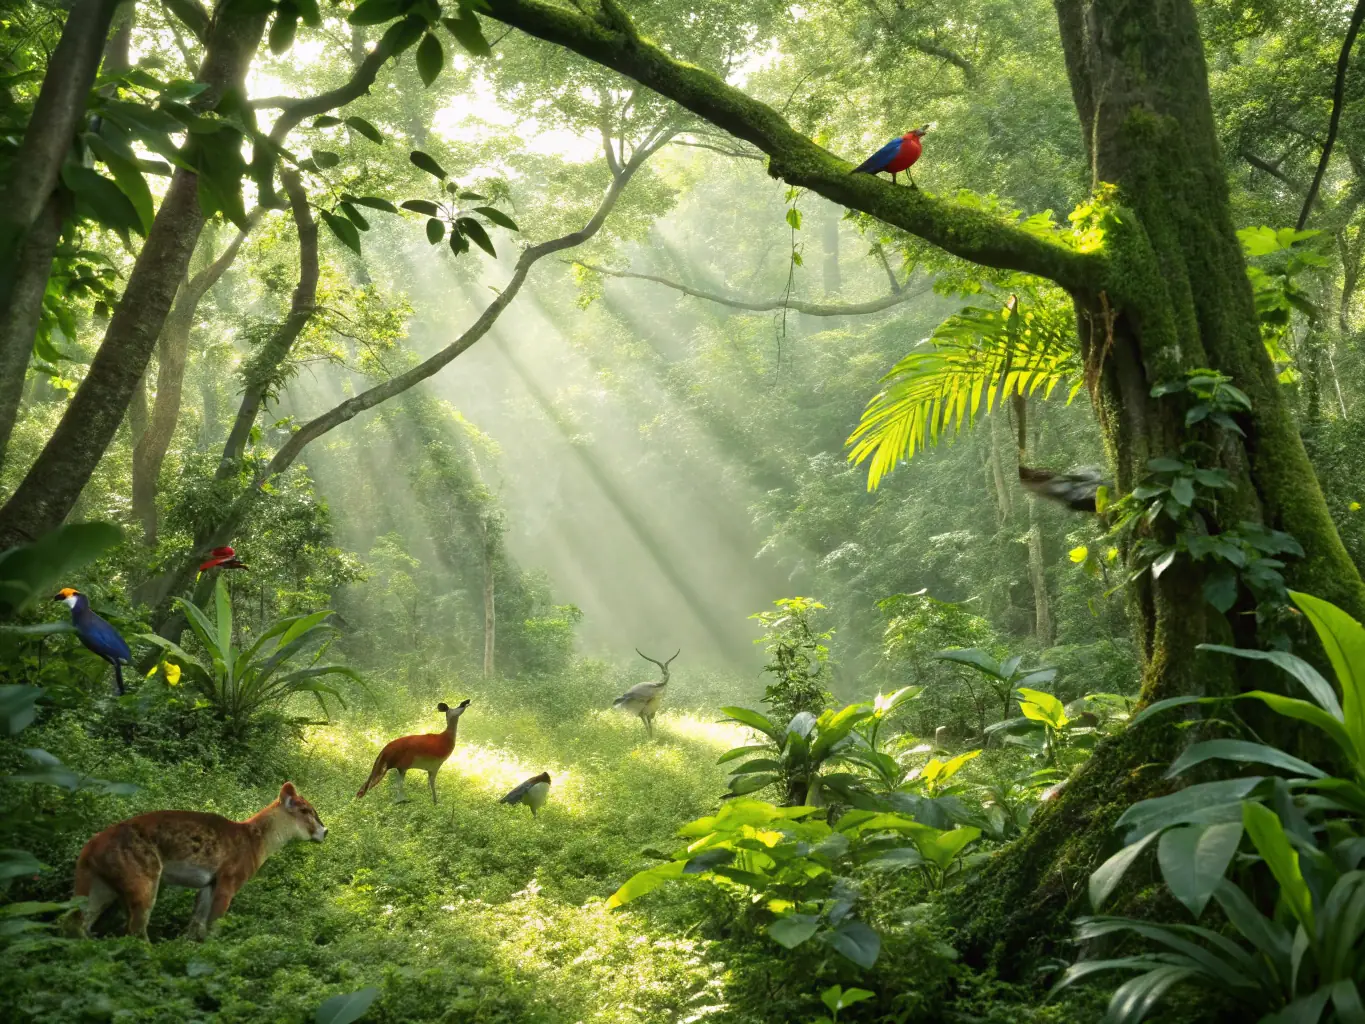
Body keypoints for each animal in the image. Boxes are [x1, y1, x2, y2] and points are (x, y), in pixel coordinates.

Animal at [68, 782, 326, 941]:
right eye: (307, 810)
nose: (325, 831)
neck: (257, 841)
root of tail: (90, 846)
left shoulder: (208, 884)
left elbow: (197, 926)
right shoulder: (229, 879)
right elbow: (214, 925)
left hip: (101, 886)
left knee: (75, 921)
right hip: (143, 881)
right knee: (134, 931)